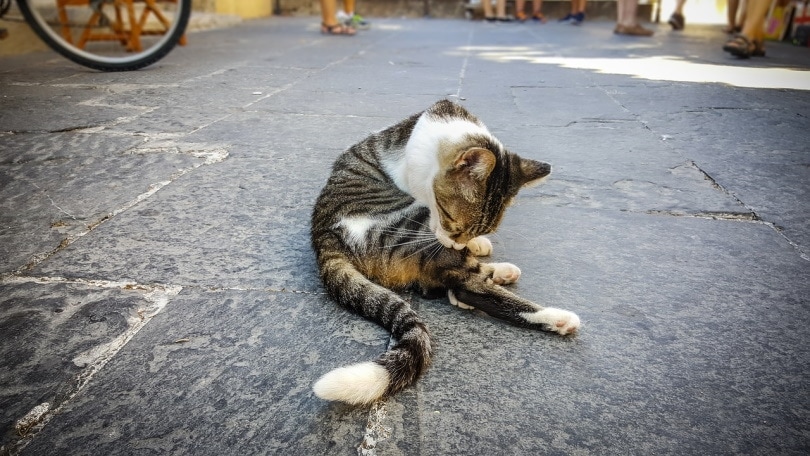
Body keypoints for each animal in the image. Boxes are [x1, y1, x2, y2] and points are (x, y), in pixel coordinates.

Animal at [306, 100, 576, 406]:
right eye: (452, 221)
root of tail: (323, 235)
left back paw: (497, 272)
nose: (458, 244)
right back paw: (556, 317)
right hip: (407, 222)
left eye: (472, 229)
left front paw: (477, 243)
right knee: (467, 285)